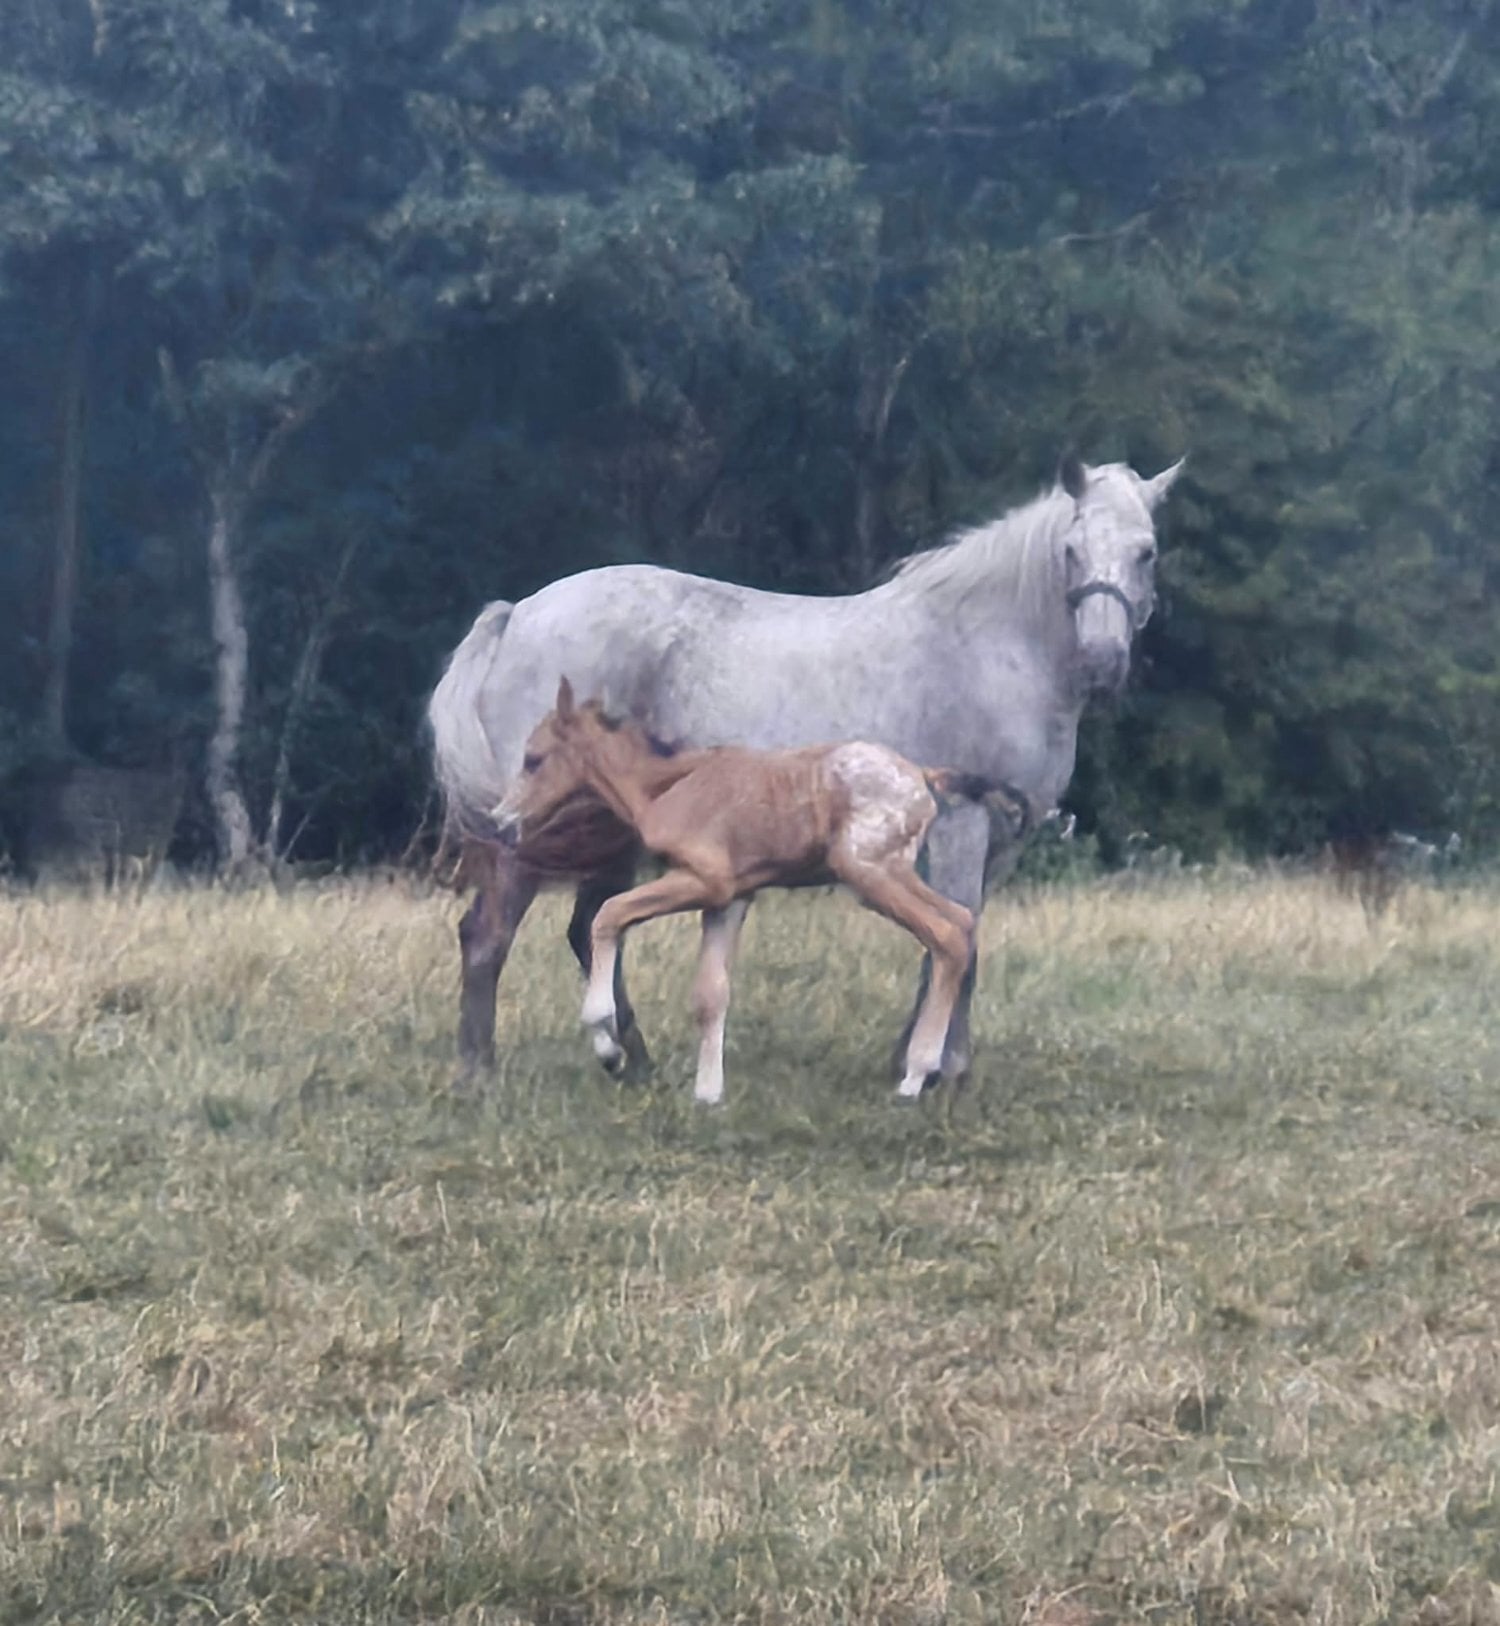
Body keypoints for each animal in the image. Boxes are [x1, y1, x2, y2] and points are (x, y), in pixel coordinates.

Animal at [491, 679, 1029, 1102]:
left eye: (534, 759)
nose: (500, 822)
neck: (668, 786)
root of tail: (922, 775)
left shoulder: (703, 881)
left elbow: (608, 915)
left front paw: (605, 1041)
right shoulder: (730, 898)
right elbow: (711, 992)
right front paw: (708, 1094)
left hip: (868, 872)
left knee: (946, 934)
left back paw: (915, 1077)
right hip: (891, 872)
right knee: (961, 923)